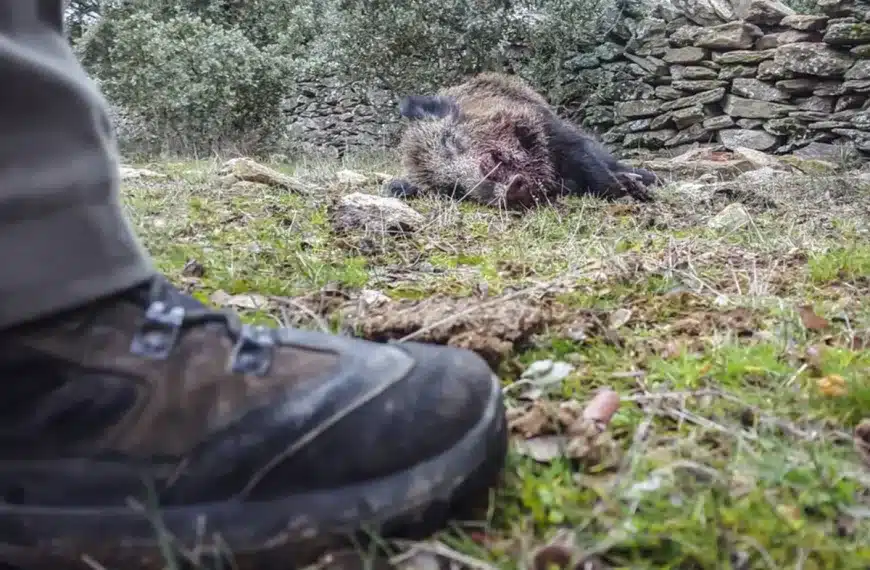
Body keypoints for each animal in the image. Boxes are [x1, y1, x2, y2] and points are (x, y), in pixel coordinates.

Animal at [385, 72, 660, 210]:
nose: (510, 190)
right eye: (453, 190)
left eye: (450, 142)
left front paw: (633, 191)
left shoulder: (555, 133)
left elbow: (594, 169)